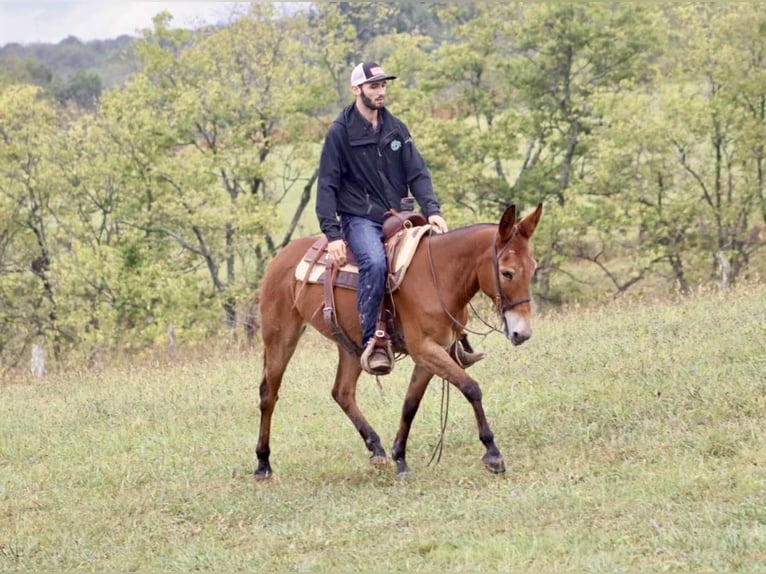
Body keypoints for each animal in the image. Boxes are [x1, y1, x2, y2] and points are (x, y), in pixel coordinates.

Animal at [255, 203, 543, 479]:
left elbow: (410, 405)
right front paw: (493, 453)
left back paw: (377, 449)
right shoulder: (425, 350)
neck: (438, 276)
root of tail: (280, 258)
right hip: (280, 337)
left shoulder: (431, 355)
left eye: (533, 268)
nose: (523, 333)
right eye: (507, 273)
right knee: (269, 393)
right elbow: (471, 387)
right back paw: (263, 463)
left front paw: (400, 459)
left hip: (351, 346)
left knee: (342, 392)